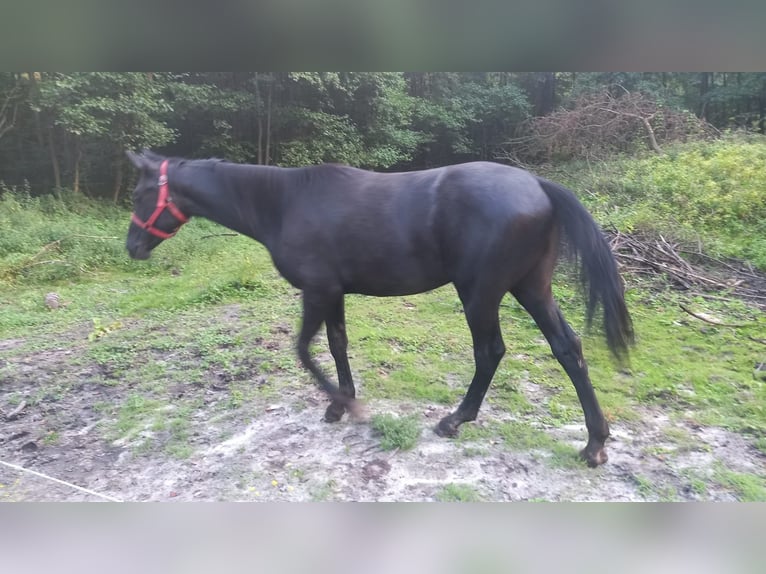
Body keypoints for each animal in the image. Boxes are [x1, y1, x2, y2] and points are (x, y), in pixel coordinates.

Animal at [126, 152, 632, 468]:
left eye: (138, 195)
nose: (132, 247)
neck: (284, 203)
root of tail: (538, 186)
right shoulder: (333, 294)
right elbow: (336, 345)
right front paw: (339, 403)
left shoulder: (317, 290)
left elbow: (303, 350)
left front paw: (348, 405)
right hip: (531, 288)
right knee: (568, 349)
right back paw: (594, 443)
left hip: (481, 294)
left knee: (490, 352)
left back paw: (455, 420)